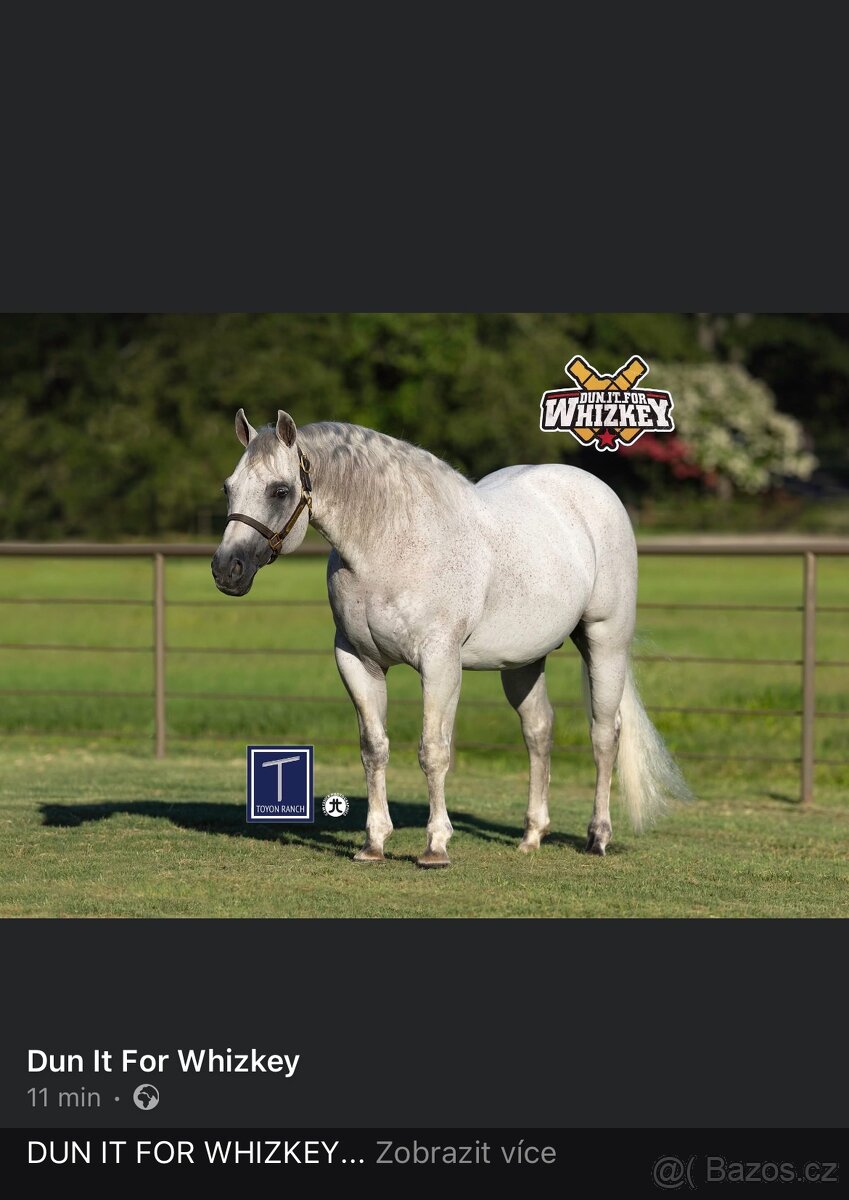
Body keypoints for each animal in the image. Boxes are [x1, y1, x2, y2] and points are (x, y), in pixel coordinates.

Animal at [211, 409, 690, 867]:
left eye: (279, 491)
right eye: (228, 488)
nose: (226, 570)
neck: (390, 546)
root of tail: (597, 493)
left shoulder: (440, 663)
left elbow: (434, 751)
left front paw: (435, 846)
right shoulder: (357, 662)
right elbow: (374, 748)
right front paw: (374, 843)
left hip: (605, 641)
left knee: (604, 735)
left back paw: (598, 837)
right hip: (523, 661)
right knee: (538, 730)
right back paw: (532, 836)